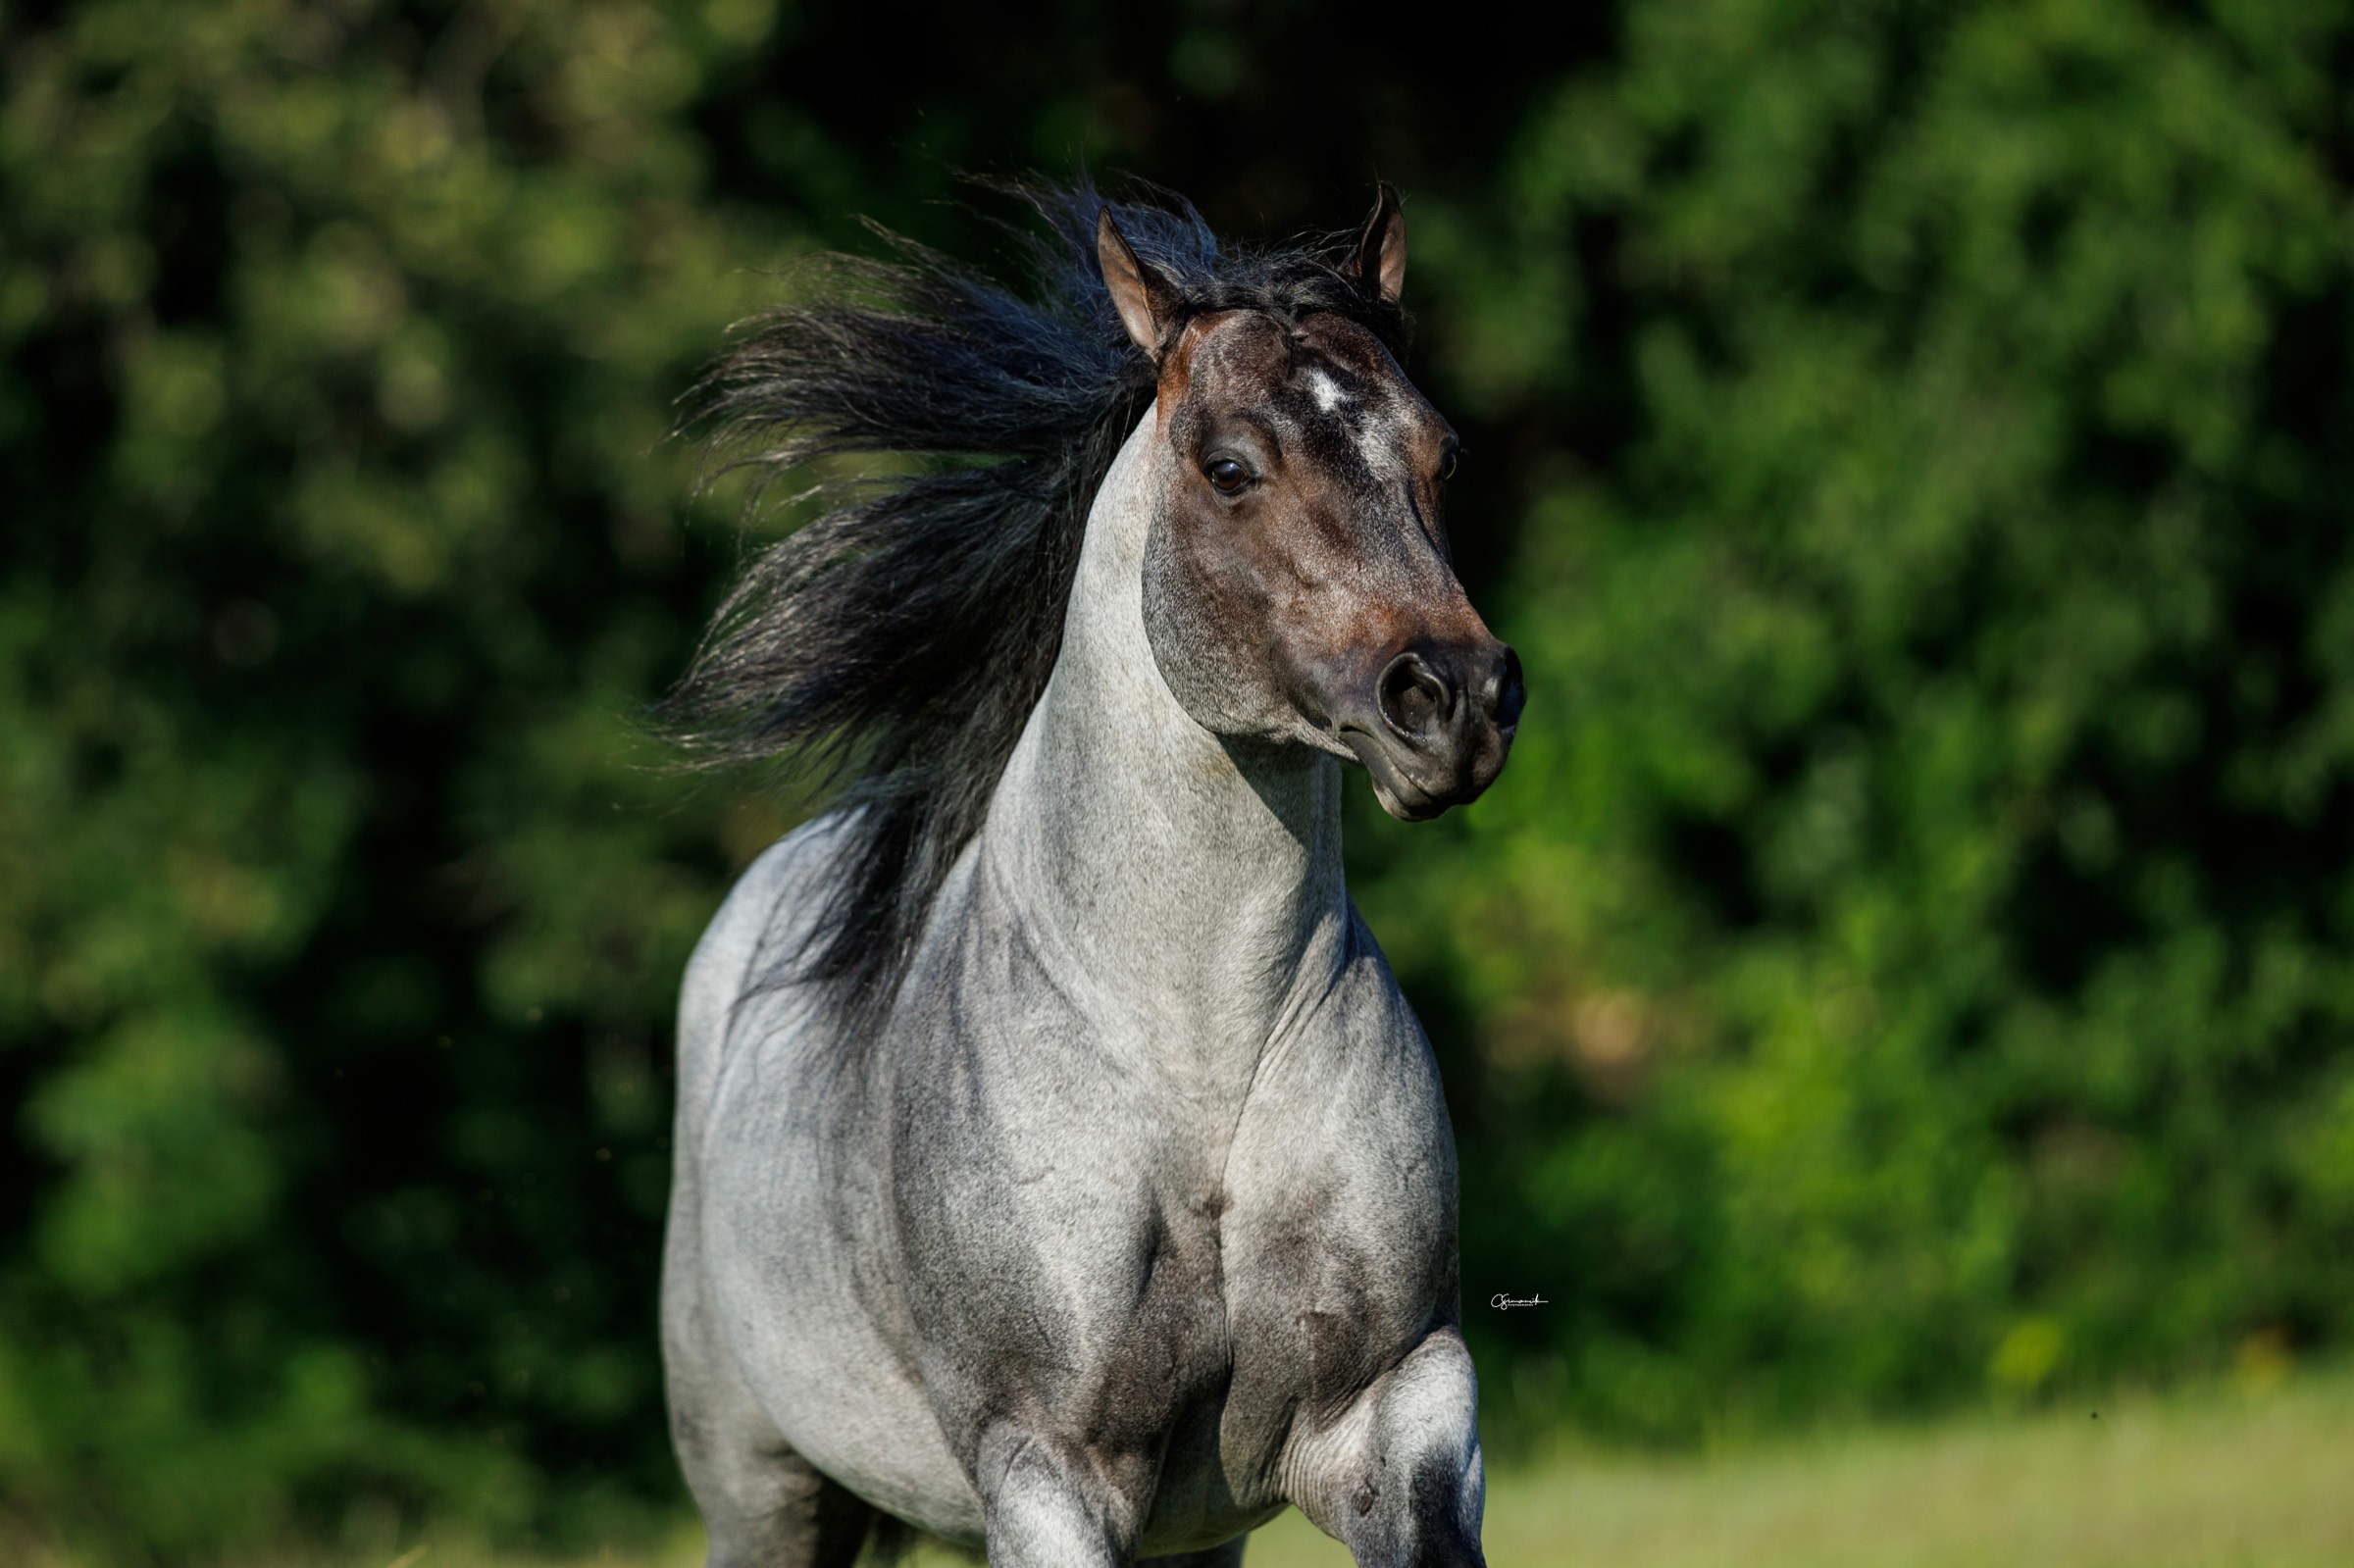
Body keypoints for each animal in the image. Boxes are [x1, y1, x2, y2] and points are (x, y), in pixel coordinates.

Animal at [657, 180, 1523, 1568]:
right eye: (1229, 468)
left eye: (1442, 454)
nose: (1454, 701)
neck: (1203, 1068)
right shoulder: (1046, 1464)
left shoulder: (1399, 1403)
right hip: (763, 1491)